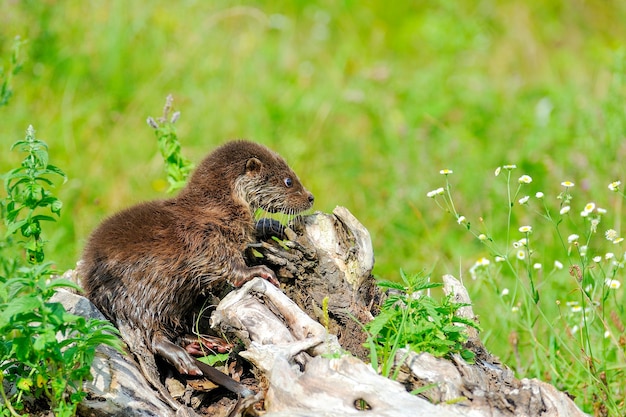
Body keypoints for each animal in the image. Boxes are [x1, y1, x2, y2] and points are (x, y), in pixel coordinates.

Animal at [79, 141, 312, 380]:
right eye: (288, 181)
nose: (310, 197)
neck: (219, 206)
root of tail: (99, 291)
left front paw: (270, 225)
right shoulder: (207, 238)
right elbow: (230, 267)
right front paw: (260, 271)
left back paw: (205, 344)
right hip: (145, 296)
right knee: (153, 336)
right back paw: (185, 360)